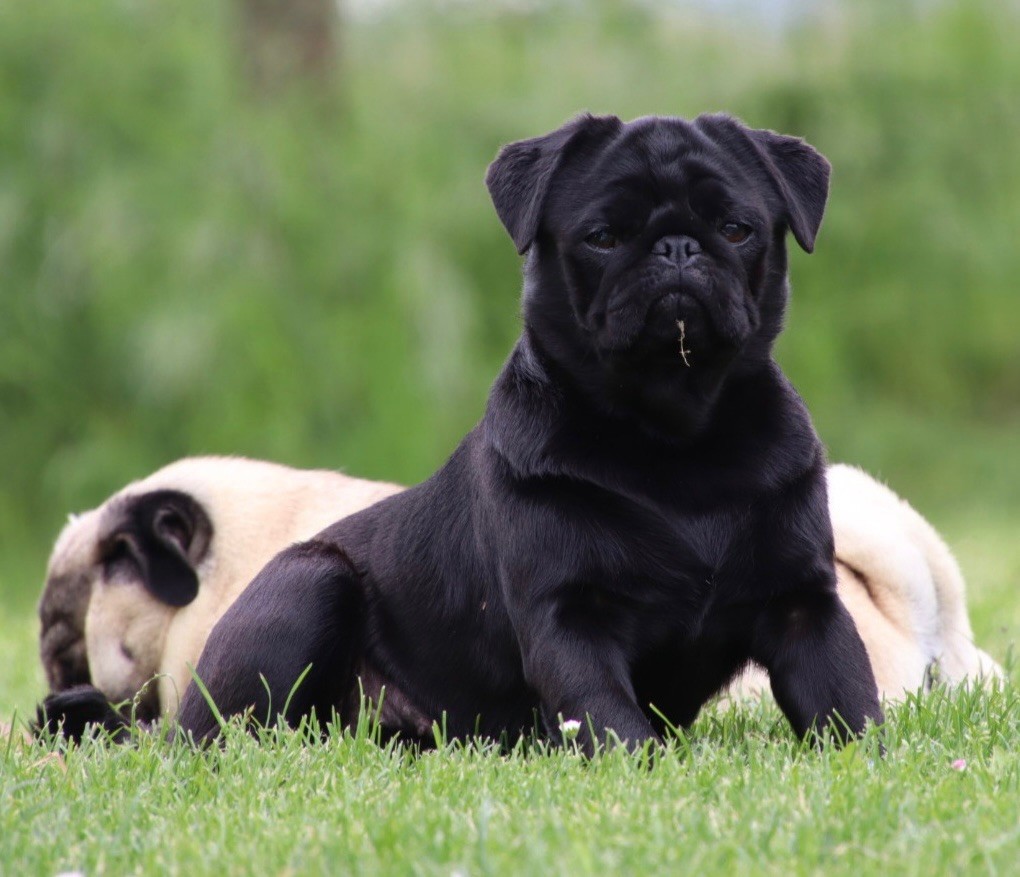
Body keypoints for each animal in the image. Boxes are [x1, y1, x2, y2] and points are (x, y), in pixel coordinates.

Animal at [157, 111, 885, 754]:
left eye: (736, 229)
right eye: (601, 237)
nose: (677, 246)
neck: (673, 436)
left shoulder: (803, 605)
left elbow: (846, 695)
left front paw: (867, 758)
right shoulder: (568, 616)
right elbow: (606, 712)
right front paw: (642, 765)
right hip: (307, 582)